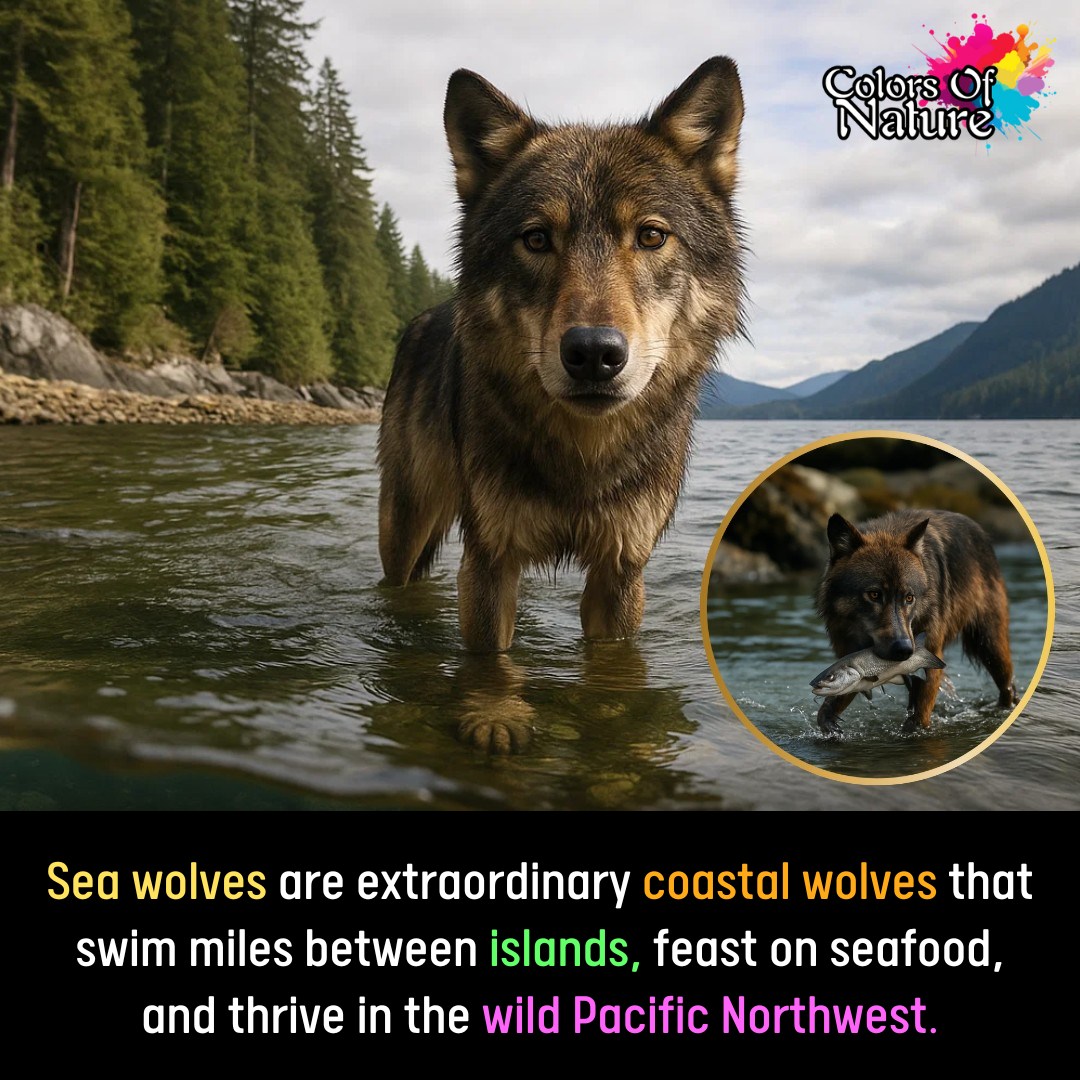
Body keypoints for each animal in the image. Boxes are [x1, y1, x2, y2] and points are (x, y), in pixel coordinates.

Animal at [378, 59, 745, 653]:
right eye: (536, 239)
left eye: (651, 236)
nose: (594, 352)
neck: (583, 457)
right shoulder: (489, 560)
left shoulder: (621, 570)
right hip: (404, 530)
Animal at [815, 509, 1019, 735]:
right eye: (874, 594)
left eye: (909, 598)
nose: (905, 650)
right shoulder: (849, 658)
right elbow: (828, 708)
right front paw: (830, 724)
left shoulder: (929, 660)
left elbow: (919, 721)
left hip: (991, 648)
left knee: (1008, 687)